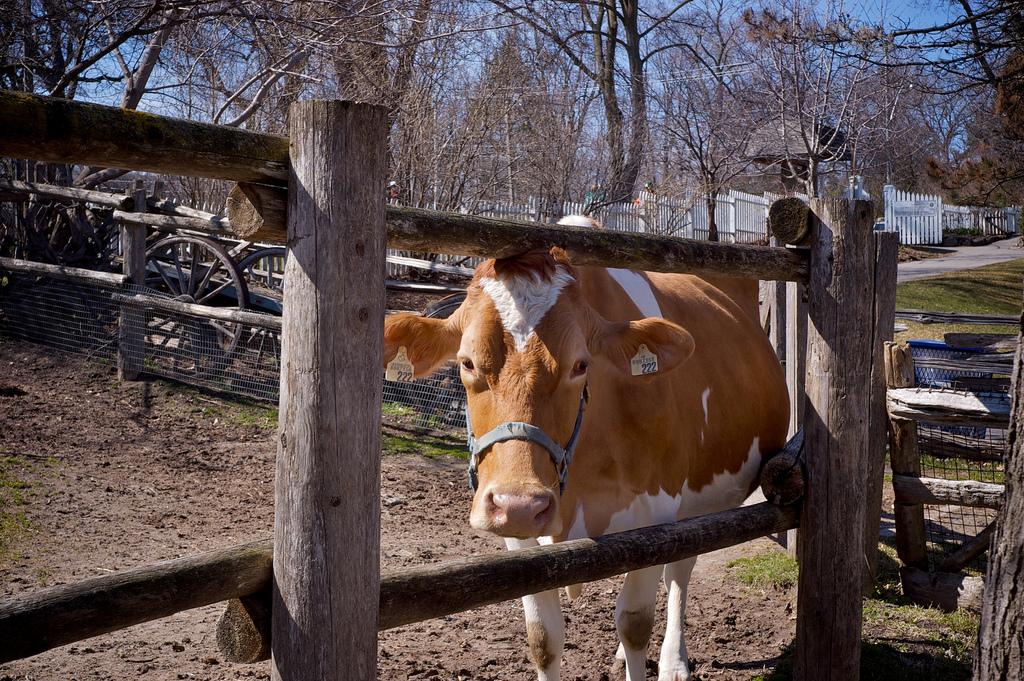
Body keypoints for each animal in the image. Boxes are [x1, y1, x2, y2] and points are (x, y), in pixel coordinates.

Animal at [380, 220, 786, 675]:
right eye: (467, 362)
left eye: (581, 364)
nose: (520, 504)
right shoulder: (516, 532)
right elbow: (543, 637)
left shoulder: (659, 511)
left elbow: (634, 623)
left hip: (704, 504)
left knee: (679, 571)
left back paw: (673, 662)